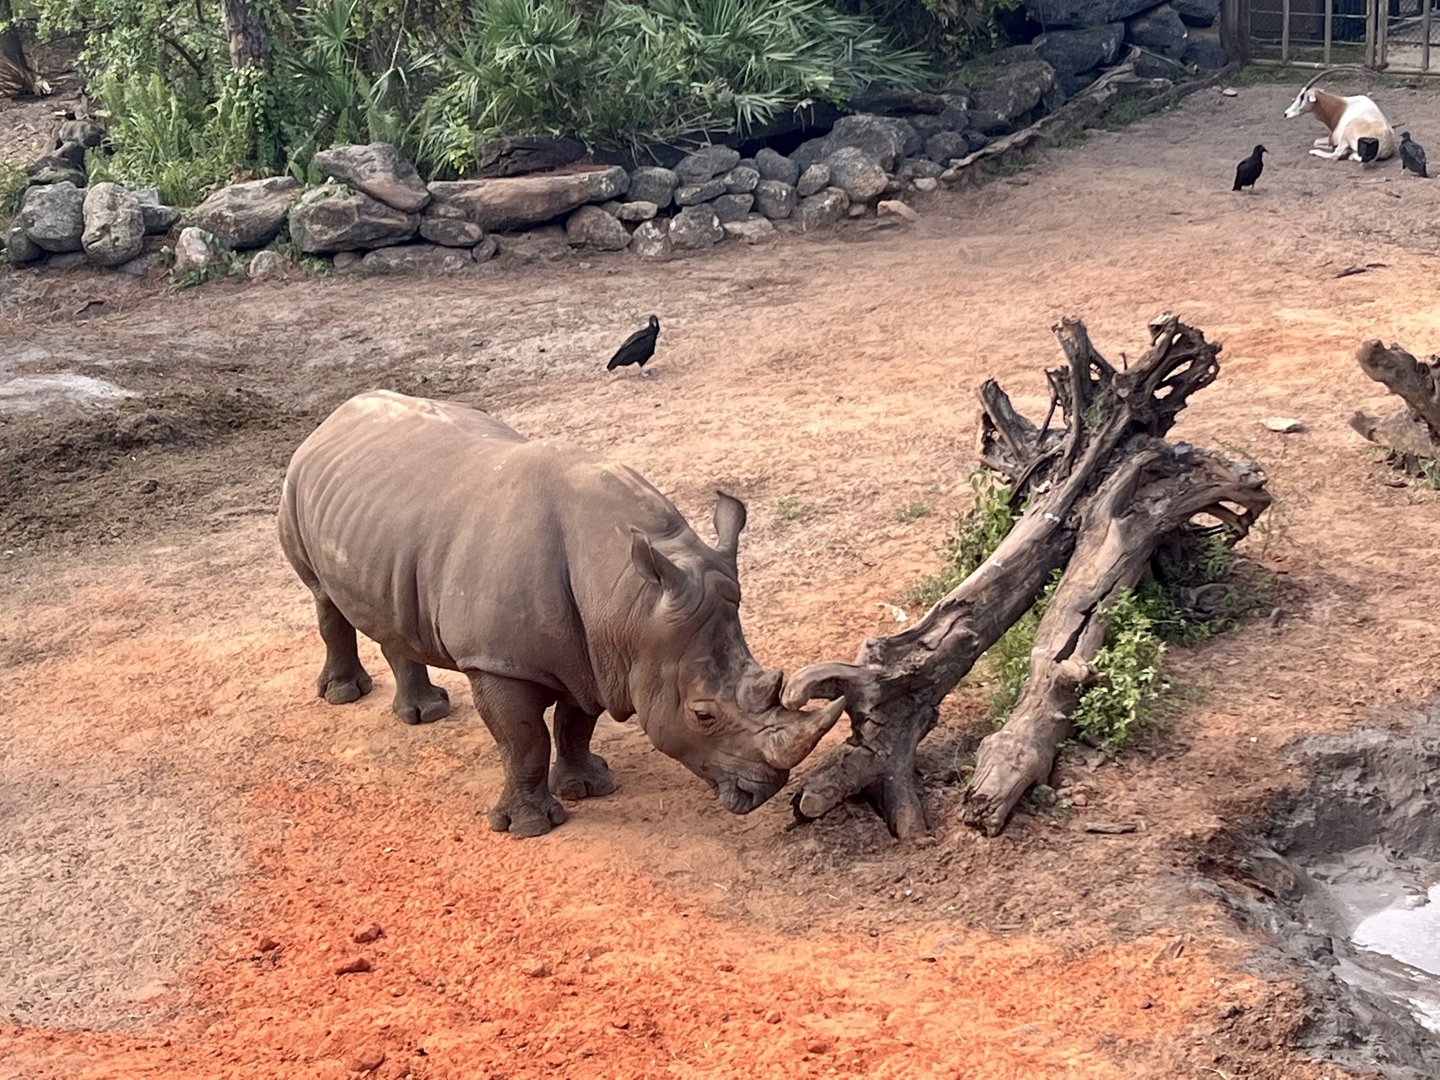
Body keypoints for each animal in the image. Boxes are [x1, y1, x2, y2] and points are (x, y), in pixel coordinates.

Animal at [278, 390, 845, 836]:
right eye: (702, 715)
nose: (766, 790)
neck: (625, 600)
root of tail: (334, 417)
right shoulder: (498, 661)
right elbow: (524, 740)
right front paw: (528, 828)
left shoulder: (595, 653)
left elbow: (576, 724)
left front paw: (590, 787)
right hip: (296, 485)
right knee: (322, 596)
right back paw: (345, 696)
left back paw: (424, 714)